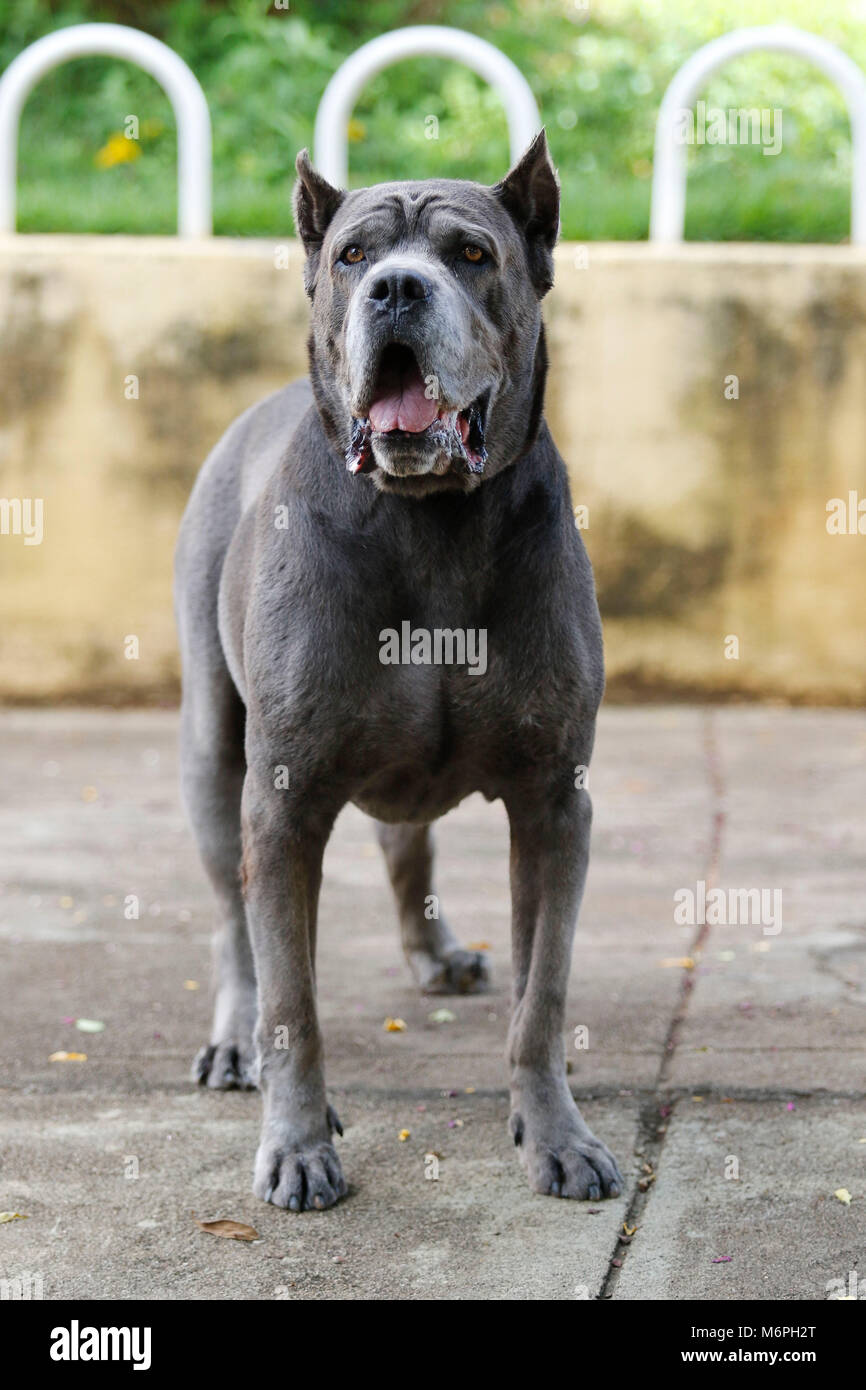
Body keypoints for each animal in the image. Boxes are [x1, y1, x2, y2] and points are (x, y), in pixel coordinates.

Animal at [174, 135, 622, 1212]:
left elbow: (541, 995)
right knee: (233, 924)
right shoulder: (283, 800)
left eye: (470, 253)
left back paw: (435, 953)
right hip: (212, 750)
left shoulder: (555, 799)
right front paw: (297, 1146)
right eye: (351, 256)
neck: (433, 521)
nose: (395, 289)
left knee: (403, 842)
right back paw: (232, 1039)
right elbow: (292, 999)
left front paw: (556, 1135)